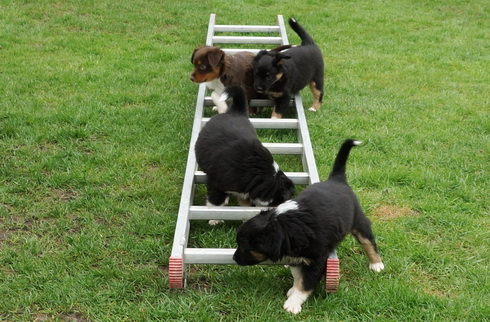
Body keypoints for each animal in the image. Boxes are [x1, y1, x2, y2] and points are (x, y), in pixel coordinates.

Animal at [235, 140, 384, 314]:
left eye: (246, 247)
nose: (234, 258)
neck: (283, 224)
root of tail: (337, 180)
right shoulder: (296, 256)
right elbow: (297, 276)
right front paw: (293, 291)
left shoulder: (317, 260)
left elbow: (305, 283)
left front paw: (292, 304)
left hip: (358, 220)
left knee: (368, 241)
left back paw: (377, 264)